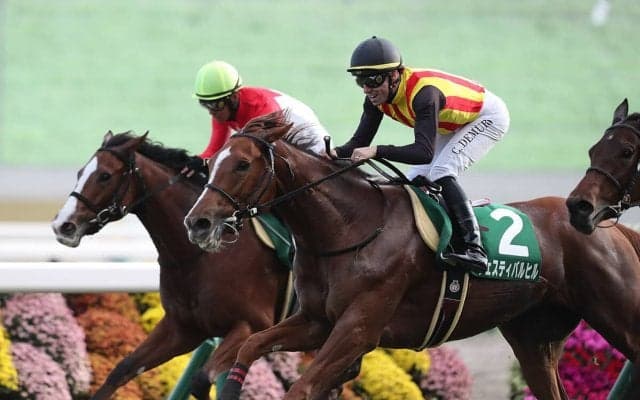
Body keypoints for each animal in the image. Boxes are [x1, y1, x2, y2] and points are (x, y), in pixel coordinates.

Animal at [52, 131, 294, 400]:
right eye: (79, 172)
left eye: (105, 175)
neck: (197, 256)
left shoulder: (252, 325)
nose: (63, 226)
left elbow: (201, 380)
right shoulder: (182, 329)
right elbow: (121, 370)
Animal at [183, 111, 640, 400]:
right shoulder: (315, 322)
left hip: (619, 317)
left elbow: (303, 387)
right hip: (533, 338)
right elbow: (248, 348)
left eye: (242, 164)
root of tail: (607, 226)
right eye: (215, 160)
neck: (350, 227)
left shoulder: (358, 328)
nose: (197, 222)